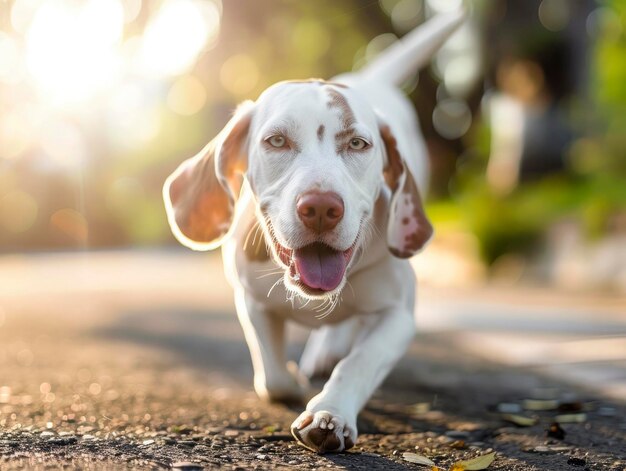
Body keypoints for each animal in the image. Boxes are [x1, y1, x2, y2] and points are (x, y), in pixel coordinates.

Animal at [163, 10, 466, 454]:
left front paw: (330, 413)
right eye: (276, 141)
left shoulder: (398, 316)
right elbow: (271, 376)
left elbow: (358, 363)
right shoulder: (250, 297)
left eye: (358, 144)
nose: (321, 208)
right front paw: (291, 383)